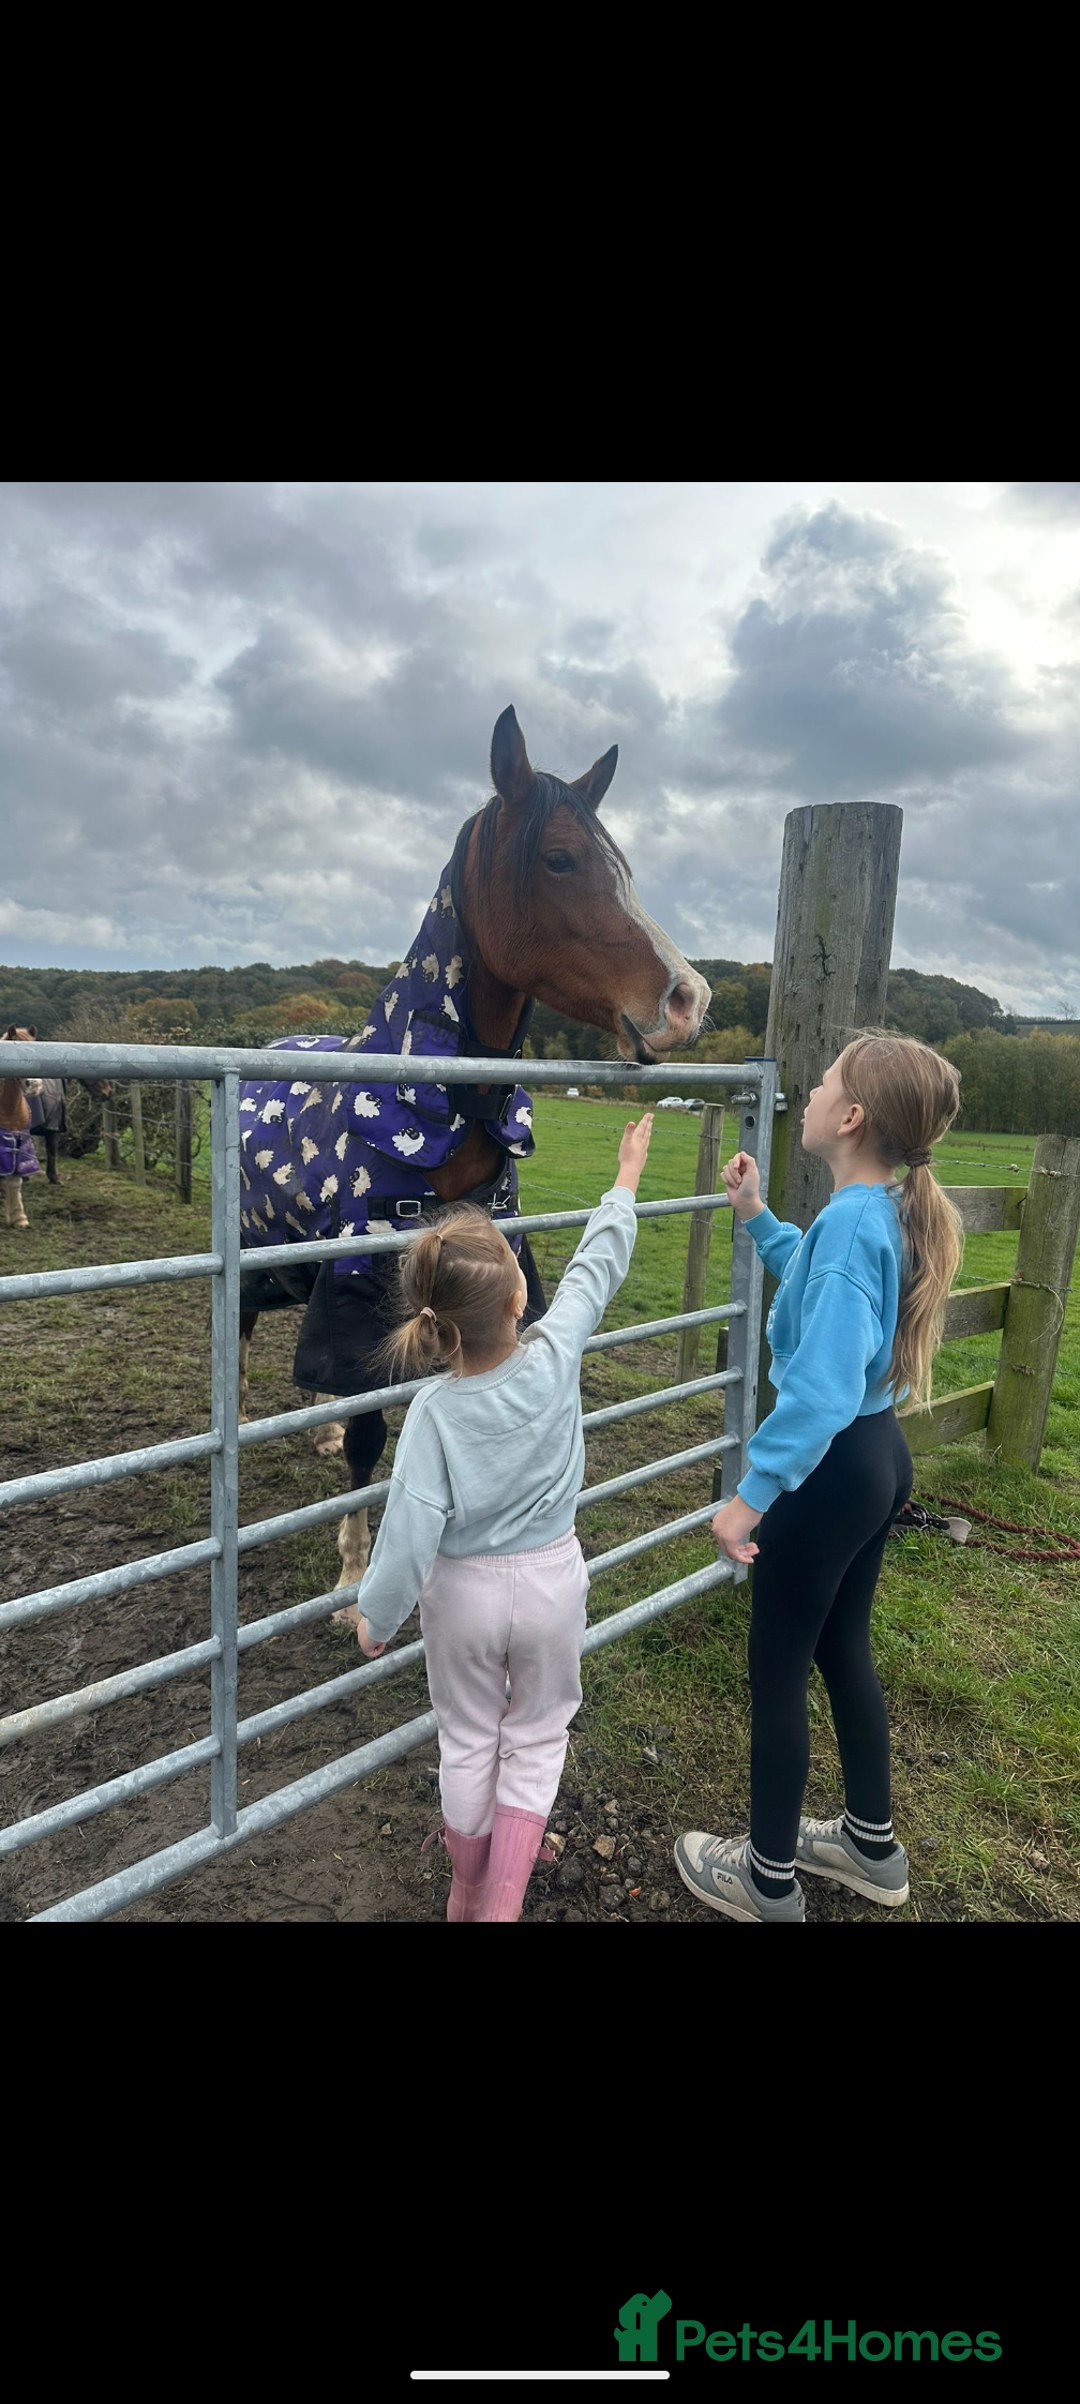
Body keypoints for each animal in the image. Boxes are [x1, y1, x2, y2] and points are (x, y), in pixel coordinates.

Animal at [237, 706, 710, 1625]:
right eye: (559, 858)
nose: (688, 999)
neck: (432, 1111)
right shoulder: (362, 1298)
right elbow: (369, 1436)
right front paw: (351, 1578)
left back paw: (309, 1426)